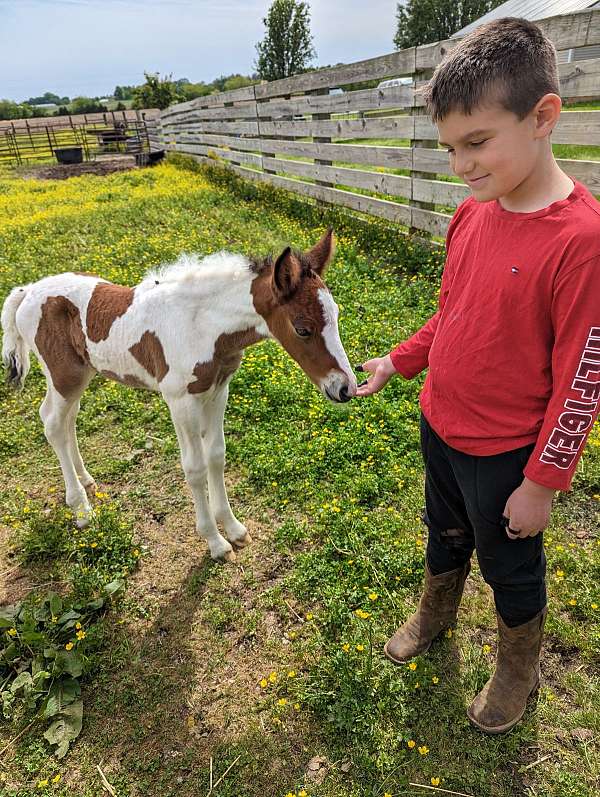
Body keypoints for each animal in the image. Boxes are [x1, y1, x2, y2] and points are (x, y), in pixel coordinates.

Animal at [1, 230, 356, 564]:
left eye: (337, 315)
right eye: (302, 329)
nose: (345, 388)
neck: (201, 326)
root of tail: (28, 290)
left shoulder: (219, 390)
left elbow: (216, 455)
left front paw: (234, 528)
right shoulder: (180, 400)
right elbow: (195, 467)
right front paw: (215, 542)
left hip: (81, 373)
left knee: (68, 419)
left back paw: (86, 480)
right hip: (64, 375)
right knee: (51, 422)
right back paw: (81, 508)